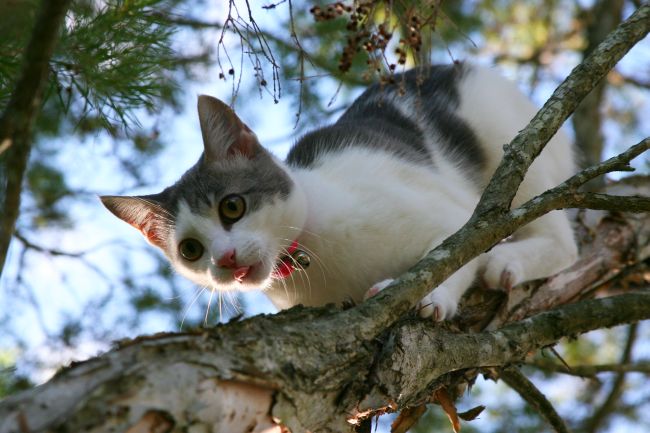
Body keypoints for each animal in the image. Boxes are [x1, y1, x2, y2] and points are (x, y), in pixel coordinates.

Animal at [101, 64, 576, 320]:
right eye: (191, 251)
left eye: (231, 207)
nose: (226, 259)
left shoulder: (458, 217)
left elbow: (451, 255)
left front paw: (431, 297)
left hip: (511, 142)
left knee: (561, 240)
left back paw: (508, 261)